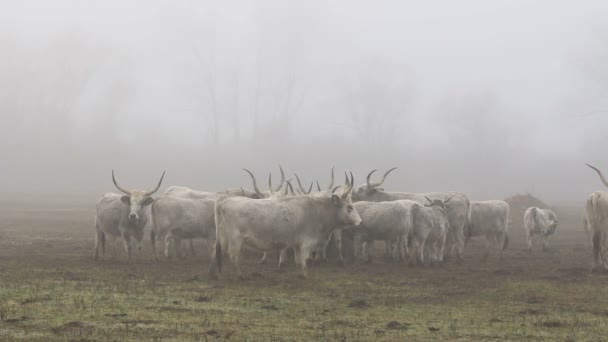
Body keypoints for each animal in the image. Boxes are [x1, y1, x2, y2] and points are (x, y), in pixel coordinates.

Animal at [209, 174, 360, 278]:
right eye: (349, 207)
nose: (360, 221)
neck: (316, 210)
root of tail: (224, 201)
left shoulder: (297, 244)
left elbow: (299, 261)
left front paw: (301, 274)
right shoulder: (306, 243)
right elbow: (303, 261)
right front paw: (305, 276)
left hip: (223, 237)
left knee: (216, 252)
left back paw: (215, 274)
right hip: (235, 239)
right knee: (233, 255)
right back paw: (240, 275)